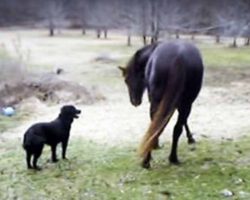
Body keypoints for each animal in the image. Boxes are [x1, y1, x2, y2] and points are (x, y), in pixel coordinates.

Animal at [118, 41, 203, 169]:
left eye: (127, 80)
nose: (134, 101)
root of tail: (179, 57)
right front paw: (190, 138)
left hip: (159, 102)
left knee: (156, 127)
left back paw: (148, 160)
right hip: (185, 103)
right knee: (176, 128)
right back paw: (172, 158)